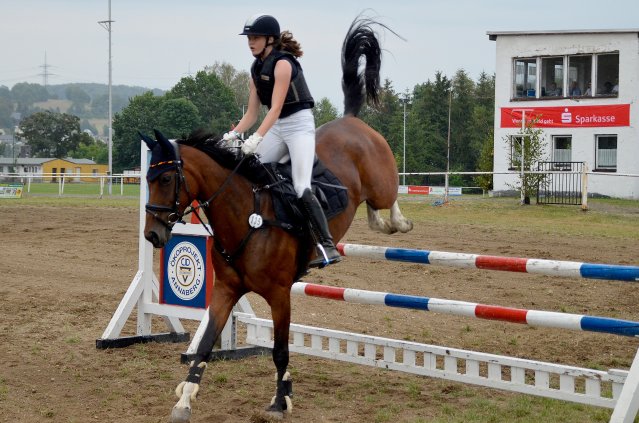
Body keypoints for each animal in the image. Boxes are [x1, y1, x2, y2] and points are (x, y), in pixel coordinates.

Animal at [142, 17, 413, 422]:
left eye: (164, 180)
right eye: (147, 178)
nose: (152, 236)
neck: (244, 217)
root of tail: (352, 121)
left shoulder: (280, 294)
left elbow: (280, 349)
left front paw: (280, 400)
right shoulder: (225, 292)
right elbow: (204, 345)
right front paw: (185, 399)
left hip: (381, 180)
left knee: (388, 199)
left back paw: (397, 223)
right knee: (372, 212)